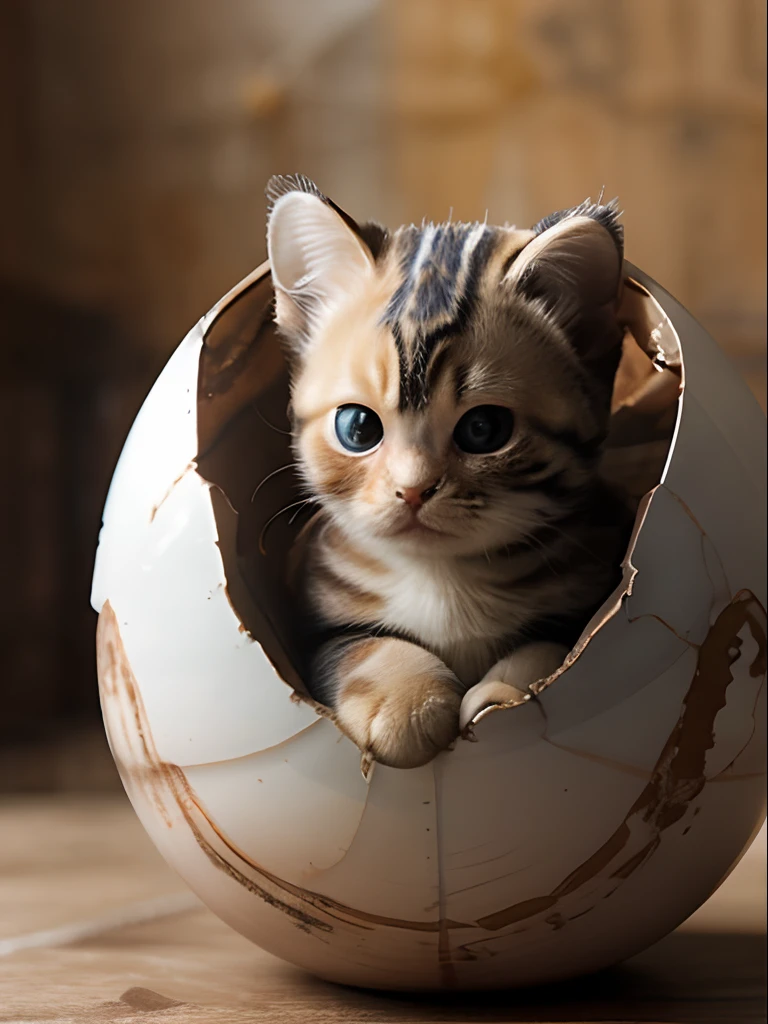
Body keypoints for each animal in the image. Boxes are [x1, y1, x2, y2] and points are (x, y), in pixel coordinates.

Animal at [268, 174, 634, 770]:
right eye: (358, 428)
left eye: (484, 429)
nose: (413, 489)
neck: (445, 580)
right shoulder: (316, 624)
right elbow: (360, 646)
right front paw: (405, 699)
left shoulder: (587, 597)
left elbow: (551, 651)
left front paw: (504, 693)